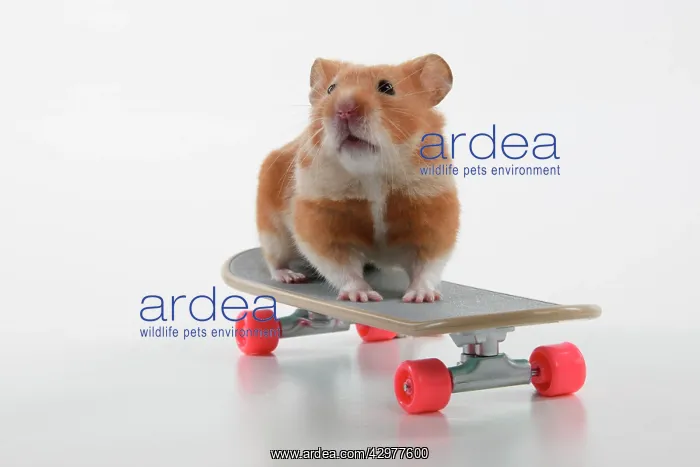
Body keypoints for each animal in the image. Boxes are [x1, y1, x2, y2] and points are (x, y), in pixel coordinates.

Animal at [256, 54, 459, 303]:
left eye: (387, 87)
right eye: (331, 89)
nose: (344, 110)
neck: (372, 175)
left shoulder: (434, 218)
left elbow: (427, 266)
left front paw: (421, 297)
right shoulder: (320, 224)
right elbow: (343, 267)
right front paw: (363, 296)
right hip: (272, 231)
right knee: (274, 260)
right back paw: (291, 276)